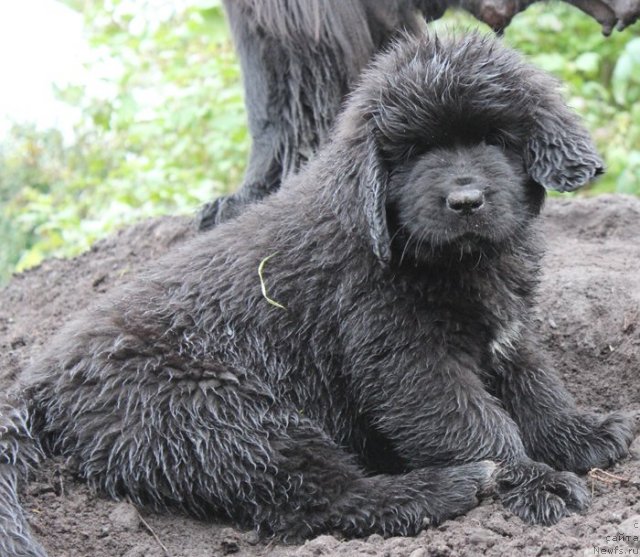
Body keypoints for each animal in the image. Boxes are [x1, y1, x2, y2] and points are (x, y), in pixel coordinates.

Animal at [0, 32, 632, 552]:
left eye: (495, 139)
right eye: (413, 153)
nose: (466, 200)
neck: (449, 260)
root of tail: (40, 377)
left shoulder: (506, 330)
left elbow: (536, 387)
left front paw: (583, 435)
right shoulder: (407, 358)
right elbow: (476, 425)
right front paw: (537, 483)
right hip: (221, 416)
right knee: (315, 497)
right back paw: (443, 489)